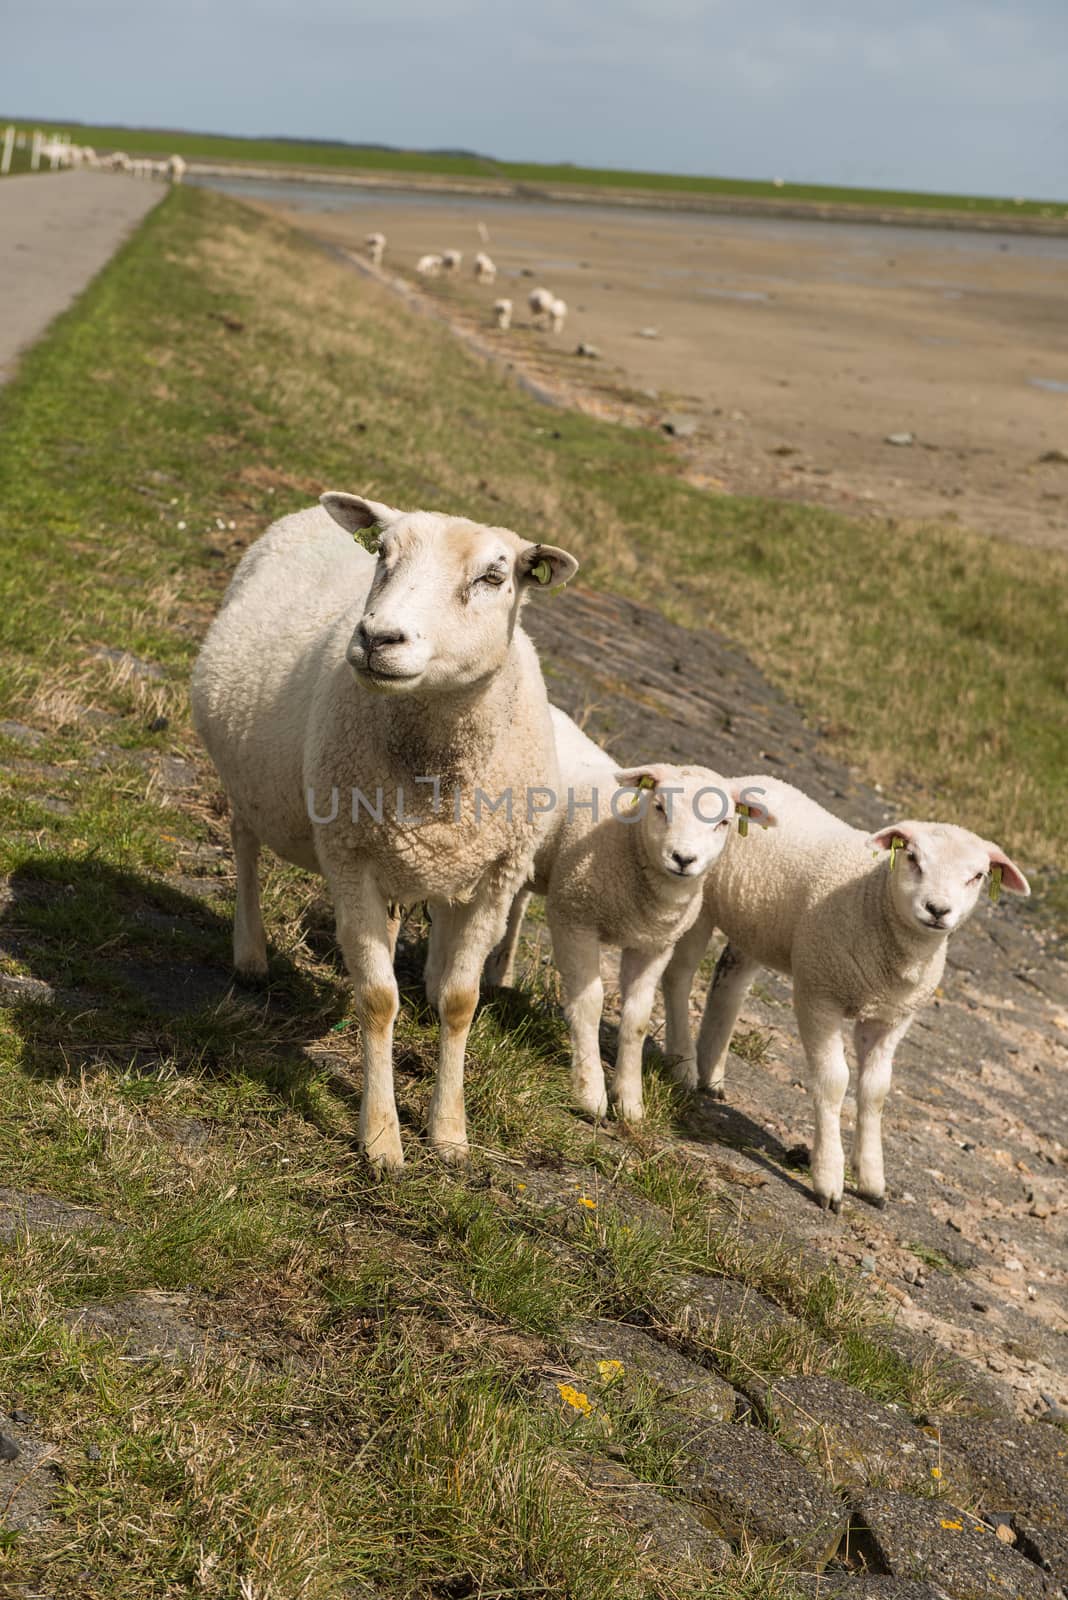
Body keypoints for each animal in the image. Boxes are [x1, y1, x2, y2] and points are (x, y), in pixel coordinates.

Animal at [187, 492, 578, 1171]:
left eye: (493, 577)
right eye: (383, 556)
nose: (376, 637)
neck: (435, 765)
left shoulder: (495, 879)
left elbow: (459, 1002)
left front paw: (449, 1134)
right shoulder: (350, 859)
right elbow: (377, 999)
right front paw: (381, 1140)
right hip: (251, 778)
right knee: (244, 846)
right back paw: (251, 954)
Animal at [482, 713, 767, 1126]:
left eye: (724, 823)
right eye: (660, 807)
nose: (683, 859)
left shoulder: (654, 945)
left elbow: (637, 1020)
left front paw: (631, 1103)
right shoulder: (574, 918)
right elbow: (589, 1004)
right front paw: (590, 1093)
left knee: (515, 903)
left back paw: (497, 972)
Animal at [661, 774, 1029, 1209]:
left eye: (977, 876)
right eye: (913, 858)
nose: (938, 910)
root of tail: (742, 781)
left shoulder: (891, 1019)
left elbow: (876, 1092)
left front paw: (871, 1179)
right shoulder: (819, 994)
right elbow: (834, 1081)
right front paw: (828, 1178)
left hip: (762, 928)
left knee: (729, 981)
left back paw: (712, 1075)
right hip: (701, 904)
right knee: (680, 976)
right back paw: (684, 1065)